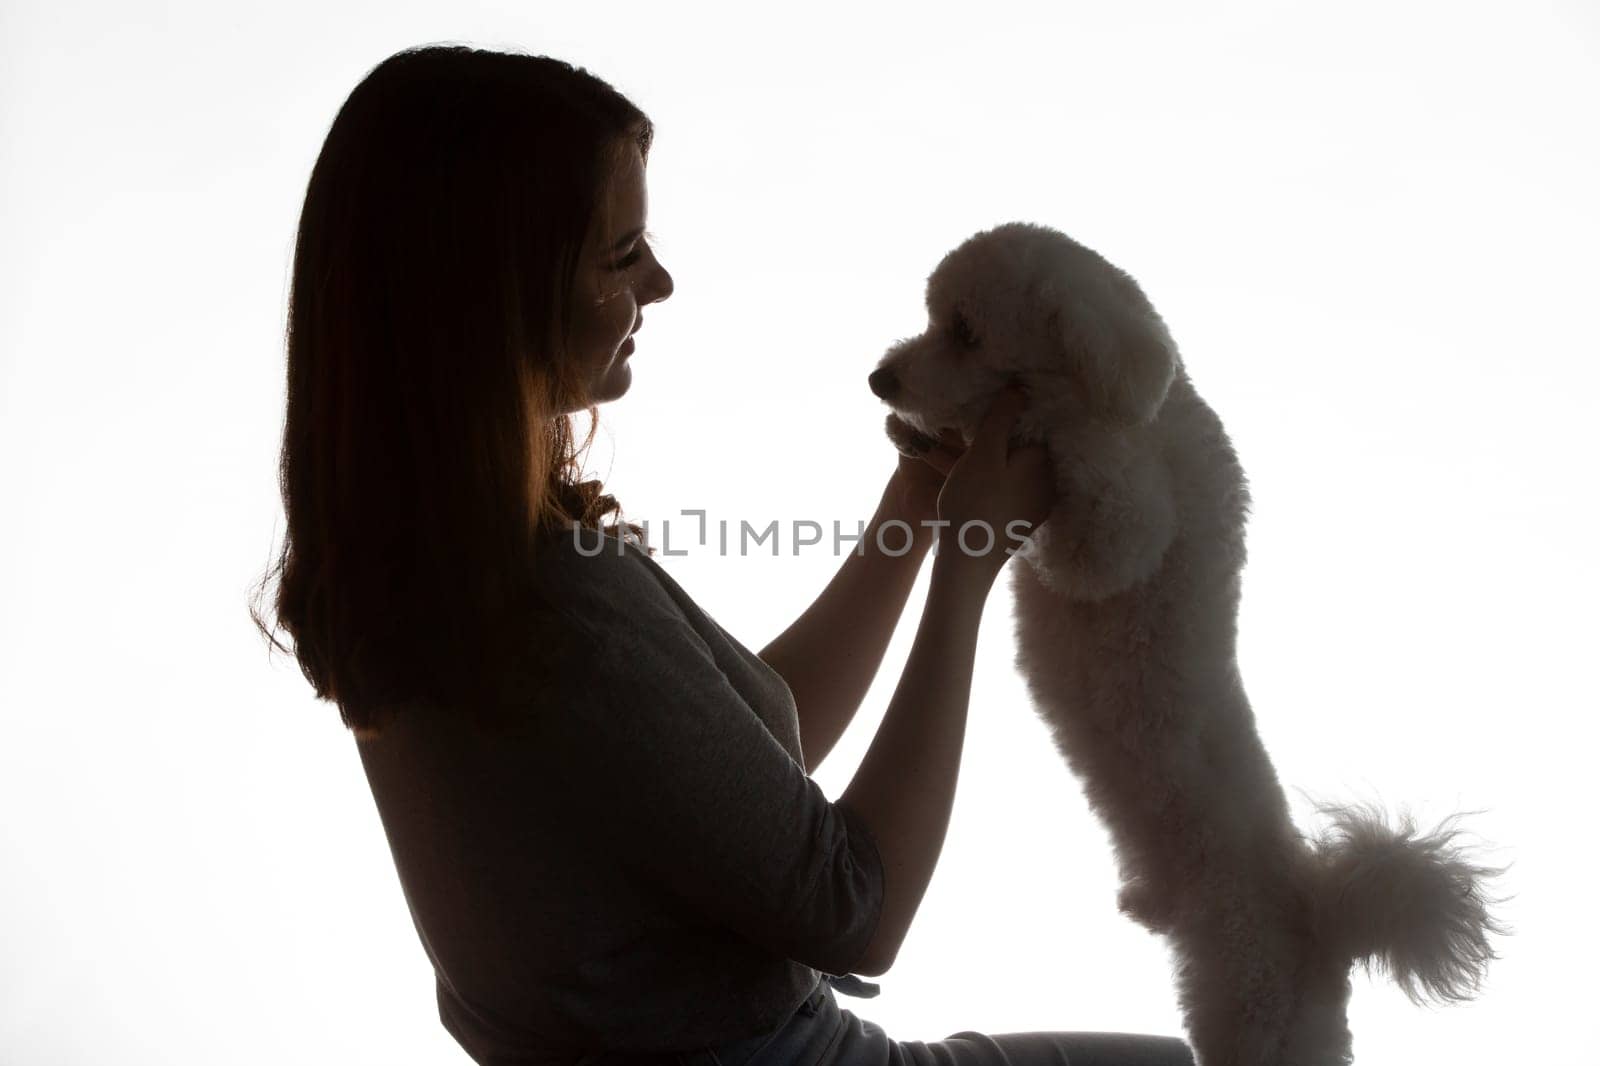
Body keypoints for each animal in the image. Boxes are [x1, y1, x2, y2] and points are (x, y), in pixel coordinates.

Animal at [870, 222, 1504, 1062]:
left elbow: (1087, 469)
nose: (880, 381)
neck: (1142, 401)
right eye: (931, 318)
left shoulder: (1122, 530)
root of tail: (1320, 912)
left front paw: (1031, 420)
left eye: (966, 330)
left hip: (1247, 1004)